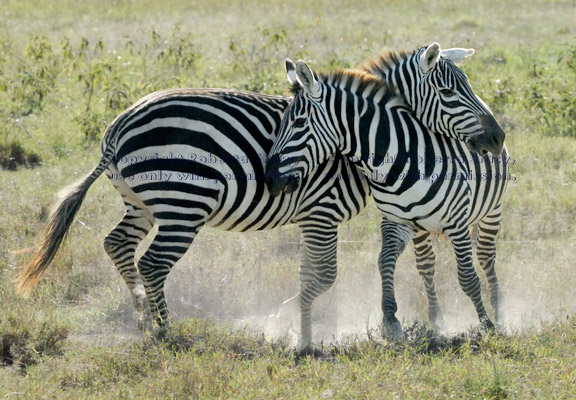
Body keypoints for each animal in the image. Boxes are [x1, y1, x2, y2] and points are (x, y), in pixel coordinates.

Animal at [266, 57, 508, 336]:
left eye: (298, 123)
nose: (269, 178)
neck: (400, 159)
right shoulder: (395, 221)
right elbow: (384, 261)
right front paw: (391, 319)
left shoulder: (457, 222)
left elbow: (468, 276)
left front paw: (487, 324)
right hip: (422, 228)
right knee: (427, 264)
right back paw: (437, 320)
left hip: (492, 209)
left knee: (486, 257)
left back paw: (499, 313)